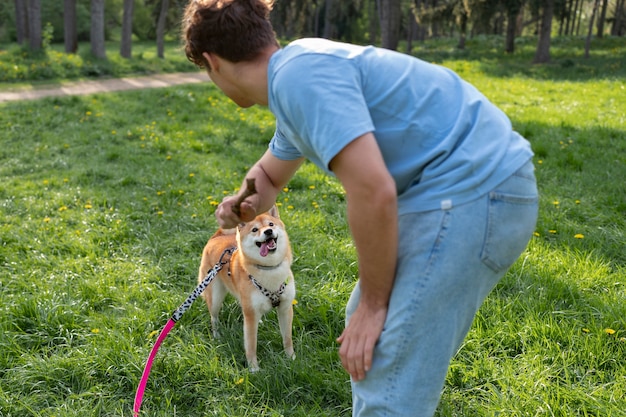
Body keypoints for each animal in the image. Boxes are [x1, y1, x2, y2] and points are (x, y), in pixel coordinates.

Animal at [199, 206, 296, 370]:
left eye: (271, 224)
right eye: (255, 229)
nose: (268, 232)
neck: (269, 269)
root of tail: (216, 237)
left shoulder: (285, 308)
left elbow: (287, 338)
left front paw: (291, 358)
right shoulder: (250, 317)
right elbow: (251, 345)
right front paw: (254, 369)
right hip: (215, 297)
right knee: (214, 317)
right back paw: (217, 335)